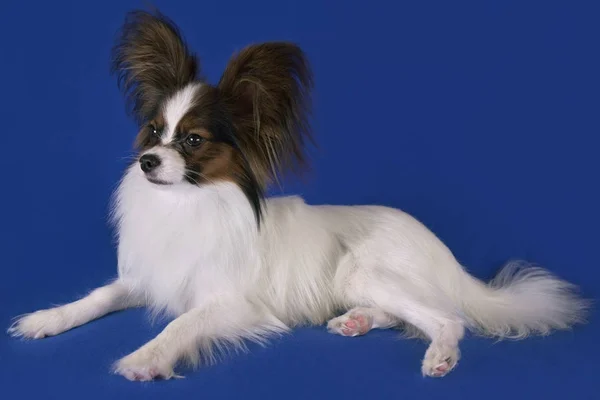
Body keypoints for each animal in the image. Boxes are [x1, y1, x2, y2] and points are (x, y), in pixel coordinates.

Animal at [8, 7, 592, 380]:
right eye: (153, 132)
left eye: (193, 141)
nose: (148, 161)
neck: (188, 204)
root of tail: (448, 257)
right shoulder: (146, 277)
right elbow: (97, 297)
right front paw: (45, 320)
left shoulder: (229, 302)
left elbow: (181, 322)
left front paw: (145, 359)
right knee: (414, 313)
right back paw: (357, 321)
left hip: (362, 271)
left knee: (449, 318)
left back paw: (439, 357)